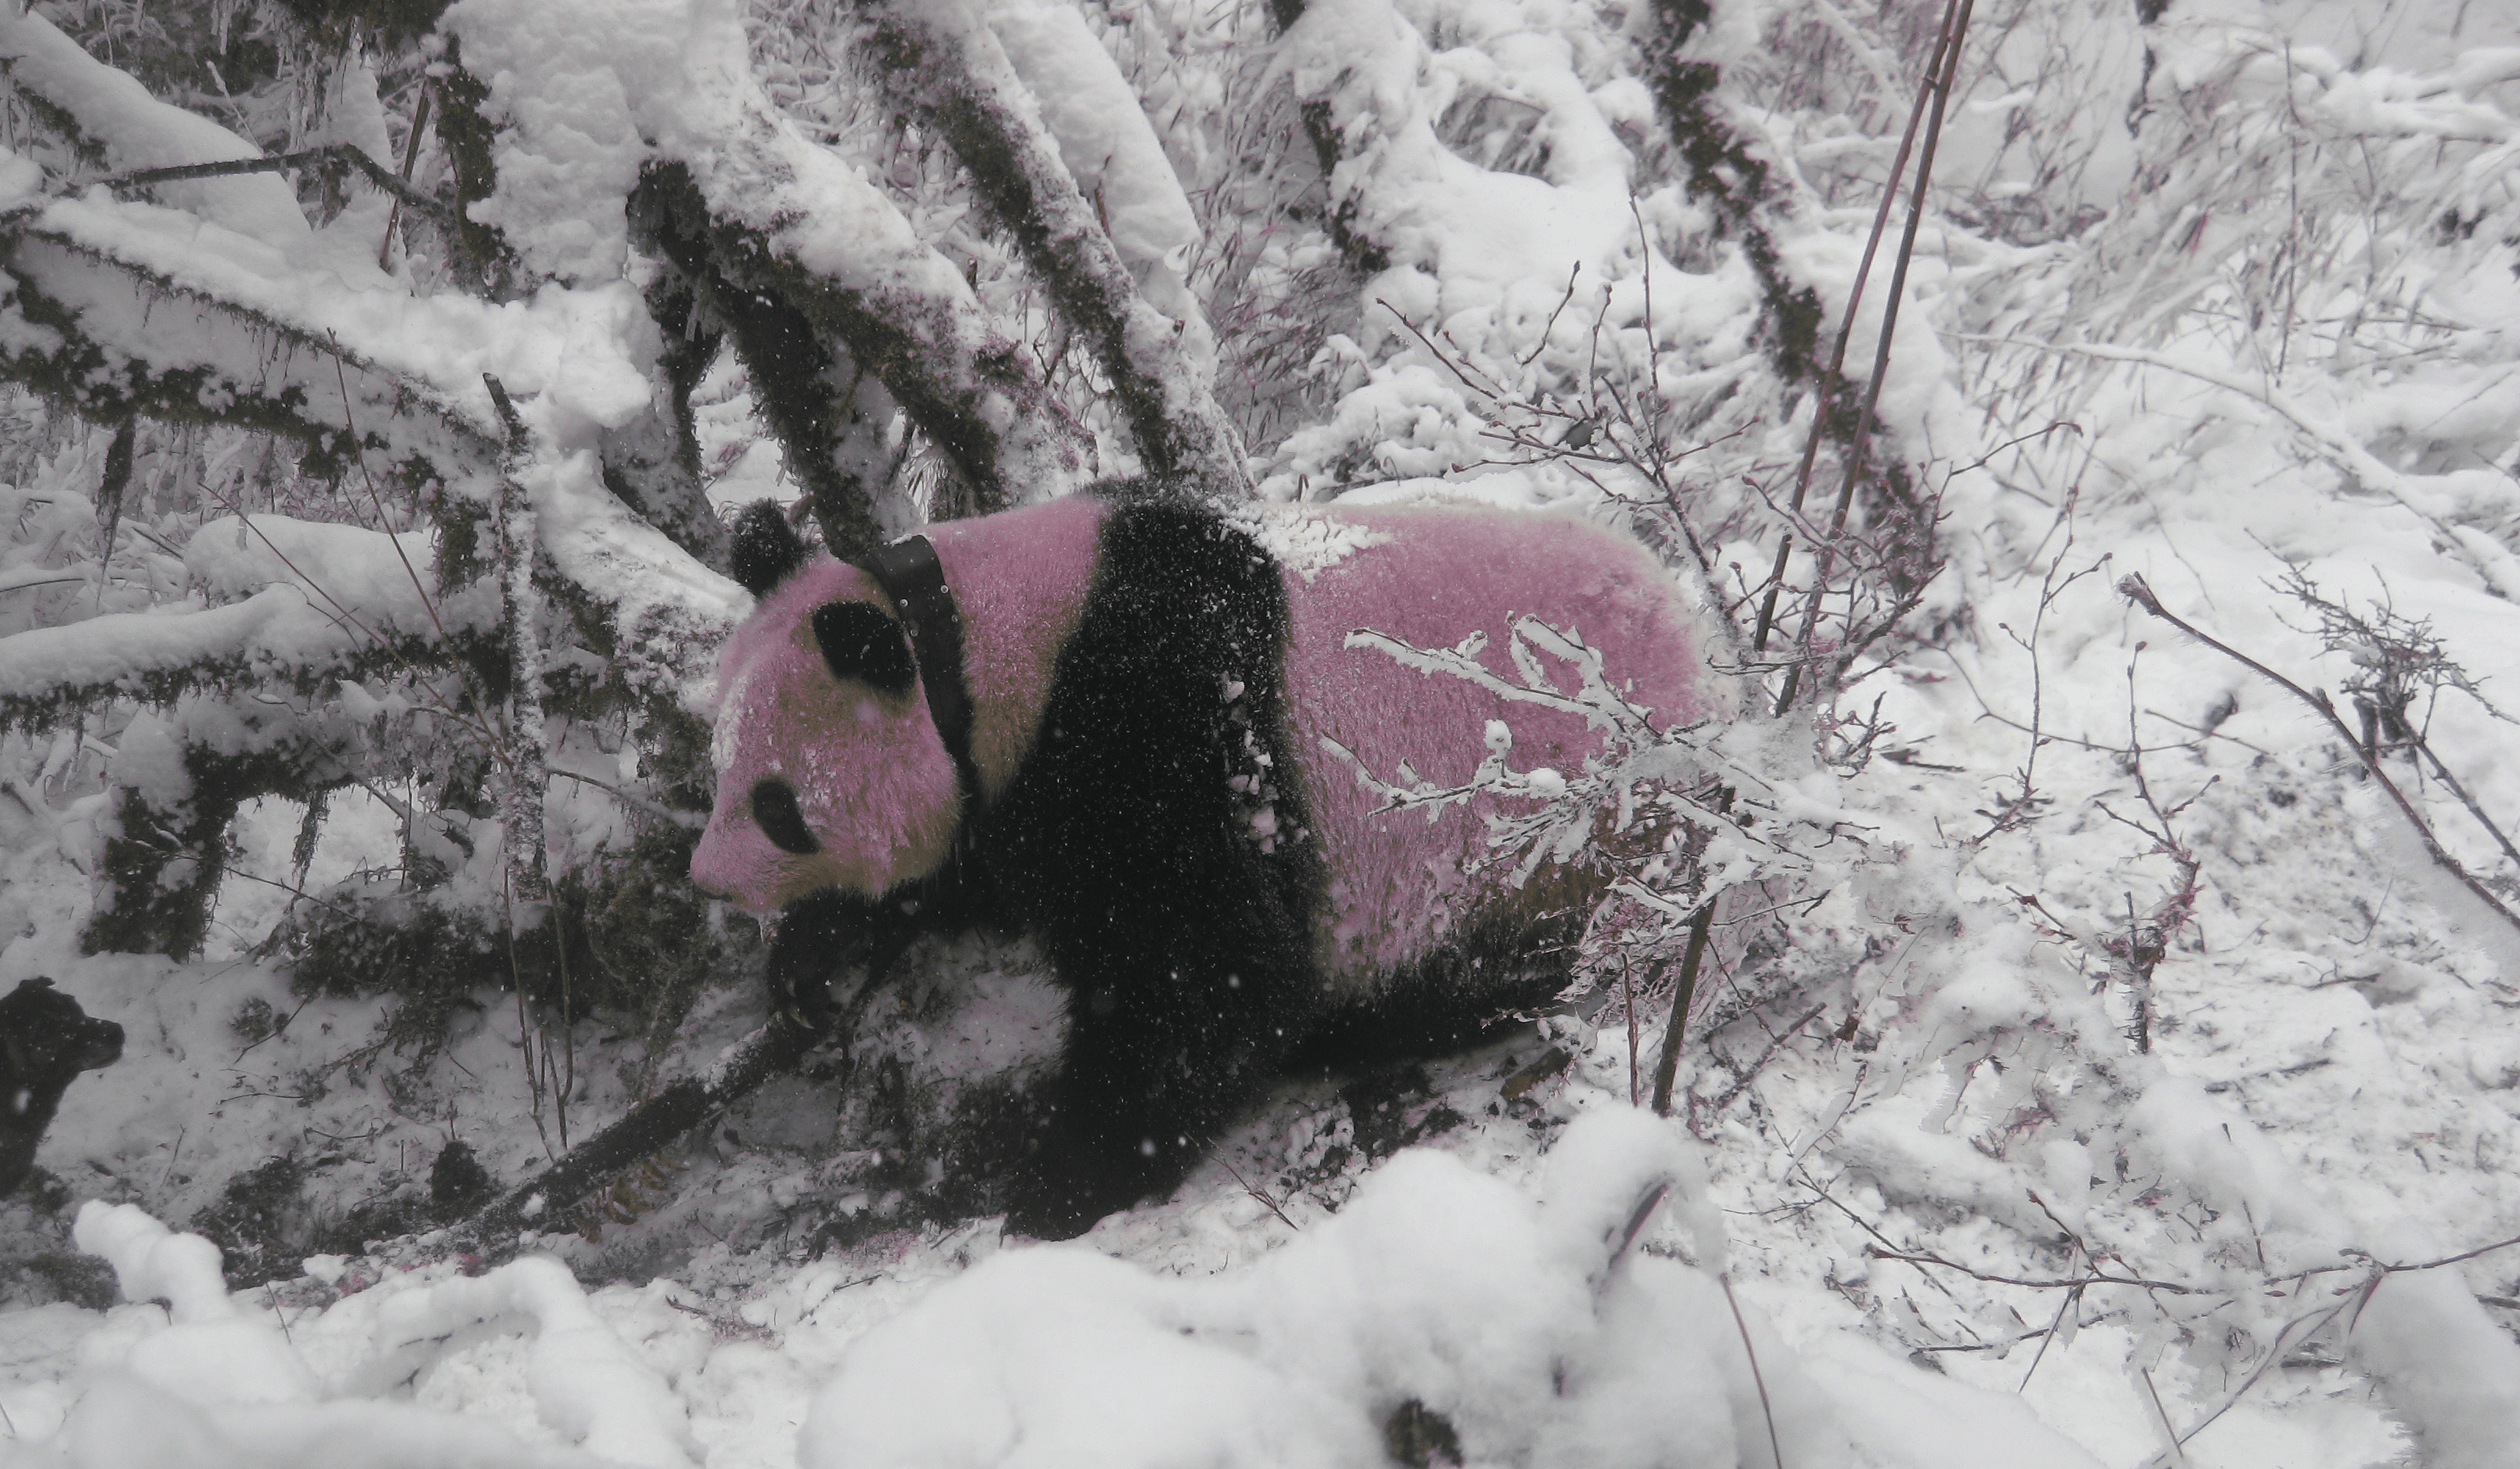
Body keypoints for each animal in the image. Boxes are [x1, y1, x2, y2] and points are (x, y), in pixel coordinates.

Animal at [690, 487, 1726, 1238]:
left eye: (775, 806)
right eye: (720, 766)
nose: (707, 879)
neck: (977, 646)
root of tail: (1697, 654)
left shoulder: (1161, 728)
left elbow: (1204, 970)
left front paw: (1067, 1177)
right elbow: (965, 872)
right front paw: (810, 959)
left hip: (1561, 835)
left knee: (1496, 961)